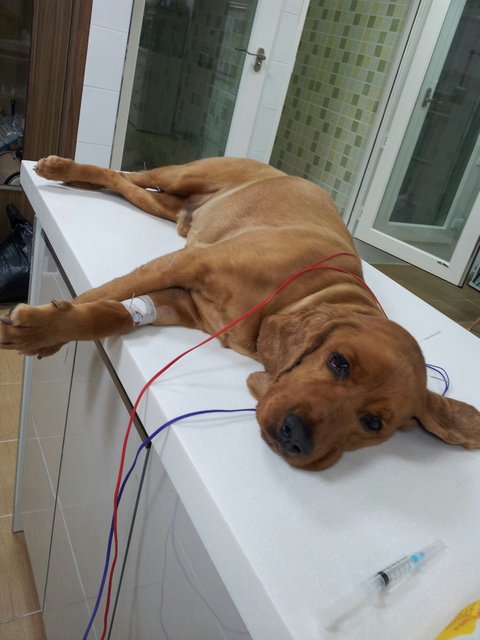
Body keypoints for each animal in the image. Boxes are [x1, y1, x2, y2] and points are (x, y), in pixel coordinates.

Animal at [1, 155, 479, 470]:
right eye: (338, 362)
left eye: (374, 422)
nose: (295, 437)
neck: (307, 293)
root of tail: (283, 171)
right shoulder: (187, 264)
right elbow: (105, 291)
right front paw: (41, 328)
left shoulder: (179, 301)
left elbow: (110, 313)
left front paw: (47, 328)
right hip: (187, 174)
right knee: (131, 173)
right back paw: (62, 169)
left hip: (165, 206)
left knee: (126, 184)